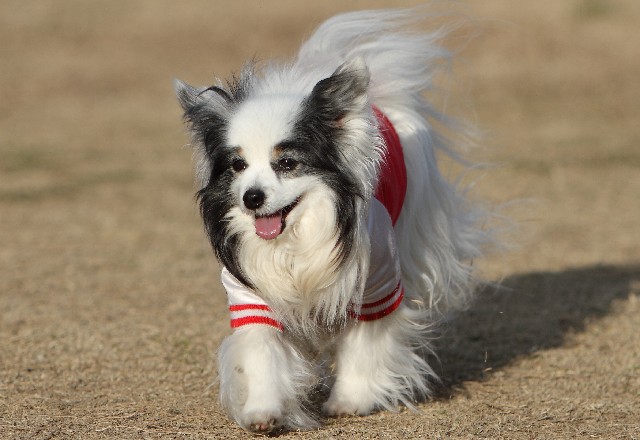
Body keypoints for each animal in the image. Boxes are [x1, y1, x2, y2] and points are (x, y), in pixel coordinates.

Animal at [175, 8, 493, 433]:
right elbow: (261, 352)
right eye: (237, 165)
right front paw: (262, 411)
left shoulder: (377, 283)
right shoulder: (251, 295)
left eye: (287, 163)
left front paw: (350, 400)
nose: (251, 198)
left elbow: (365, 342)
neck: (296, 241)